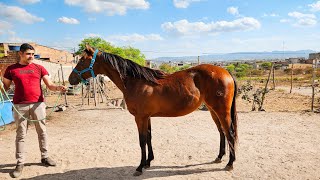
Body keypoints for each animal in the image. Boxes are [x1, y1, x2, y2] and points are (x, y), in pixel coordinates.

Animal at [68, 45, 238, 176]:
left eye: (82, 60)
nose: (70, 79)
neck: (136, 82)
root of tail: (226, 72)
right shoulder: (147, 117)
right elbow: (149, 138)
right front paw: (148, 162)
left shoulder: (140, 117)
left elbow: (142, 140)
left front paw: (140, 167)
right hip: (212, 110)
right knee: (222, 132)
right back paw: (219, 157)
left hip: (221, 111)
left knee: (229, 133)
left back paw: (230, 163)